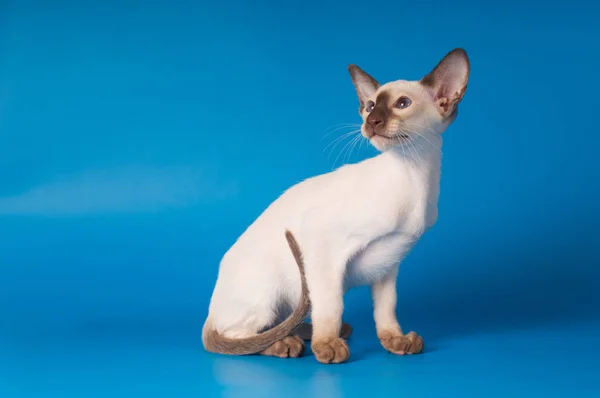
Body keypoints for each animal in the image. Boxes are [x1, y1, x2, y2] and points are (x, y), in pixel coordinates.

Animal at [204, 49, 472, 364]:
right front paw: (328, 346)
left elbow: (386, 309)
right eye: (370, 106)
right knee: (241, 337)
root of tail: (210, 312)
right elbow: (331, 305)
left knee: (277, 325)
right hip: (270, 294)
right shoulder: (322, 243)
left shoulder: (389, 264)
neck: (415, 174)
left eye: (402, 104)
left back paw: (307, 332)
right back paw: (286, 343)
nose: (372, 122)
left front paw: (395, 340)